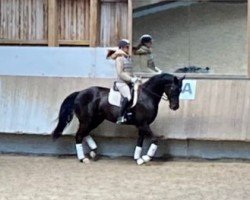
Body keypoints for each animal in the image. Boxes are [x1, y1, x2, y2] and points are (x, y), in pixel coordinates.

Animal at [51, 72, 185, 165]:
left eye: (180, 90)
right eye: (173, 89)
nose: (175, 107)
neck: (147, 96)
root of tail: (79, 93)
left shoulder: (142, 126)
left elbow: (140, 142)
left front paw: (138, 159)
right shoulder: (143, 124)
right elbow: (155, 140)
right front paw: (146, 157)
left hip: (95, 120)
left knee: (85, 133)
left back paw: (93, 151)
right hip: (87, 120)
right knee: (79, 135)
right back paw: (83, 158)